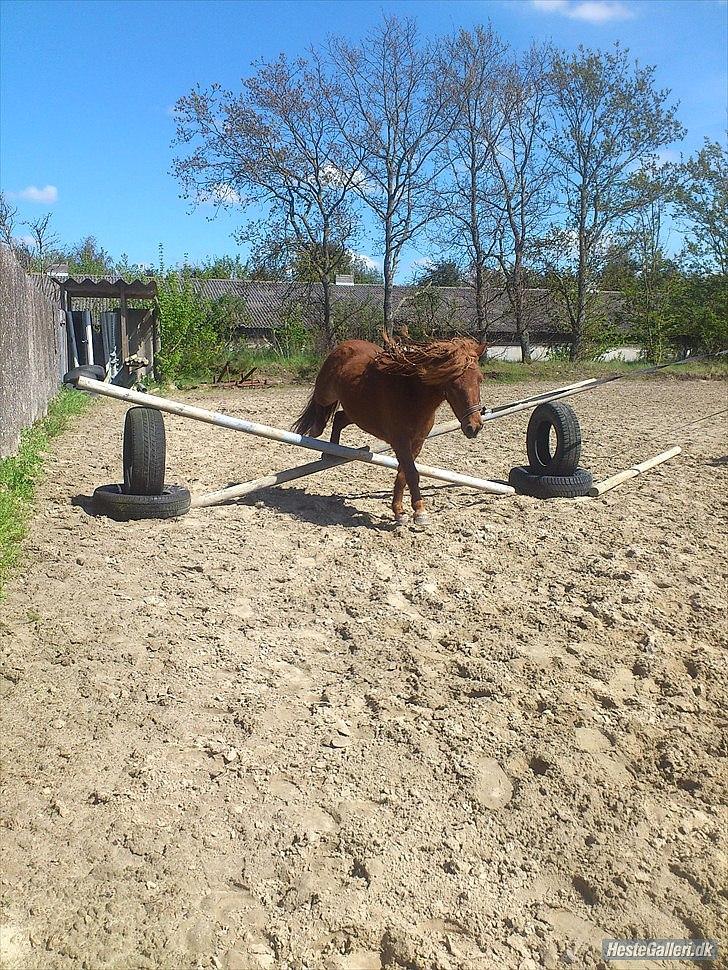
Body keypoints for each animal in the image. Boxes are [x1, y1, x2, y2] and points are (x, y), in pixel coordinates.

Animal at [292, 338, 486, 524]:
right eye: (453, 383)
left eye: (479, 379)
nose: (474, 427)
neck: (412, 396)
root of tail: (344, 345)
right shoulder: (400, 442)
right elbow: (411, 473)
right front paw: (420, 513)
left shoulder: (417, 443)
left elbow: (403, 474)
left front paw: (400, 512)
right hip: (327, 393)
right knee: (319, 406)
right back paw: (318, 433)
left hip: (358, 413)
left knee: (339, 418)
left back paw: (332, 452)